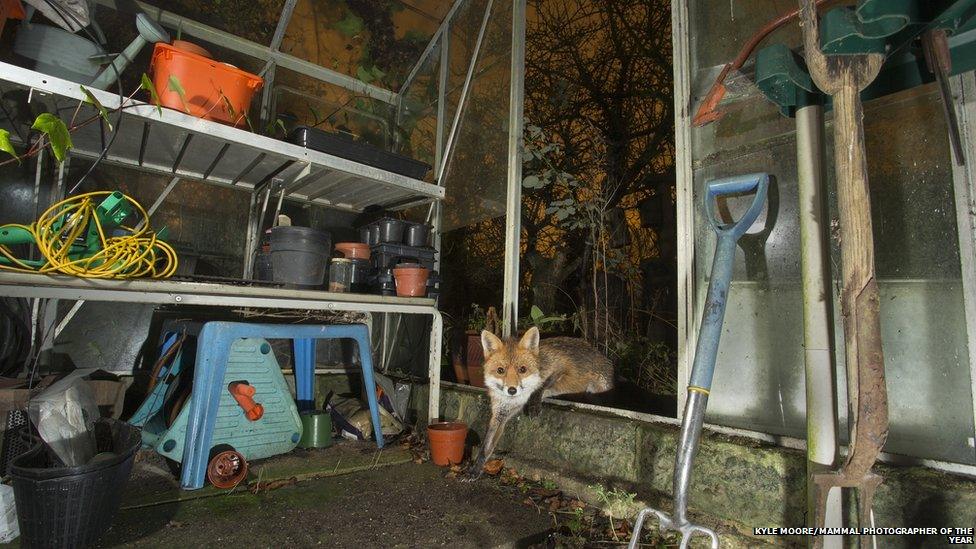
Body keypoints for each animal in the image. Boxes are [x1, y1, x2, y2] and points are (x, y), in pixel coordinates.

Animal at [464, 326, 612, 480]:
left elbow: (543, 385)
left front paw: (534, 403)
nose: (512, 390)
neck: (517, 400)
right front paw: (476, 469)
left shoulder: (562, 367)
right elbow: (485, 446)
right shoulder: (500, 414)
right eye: (500, 370)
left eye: (522, 369)